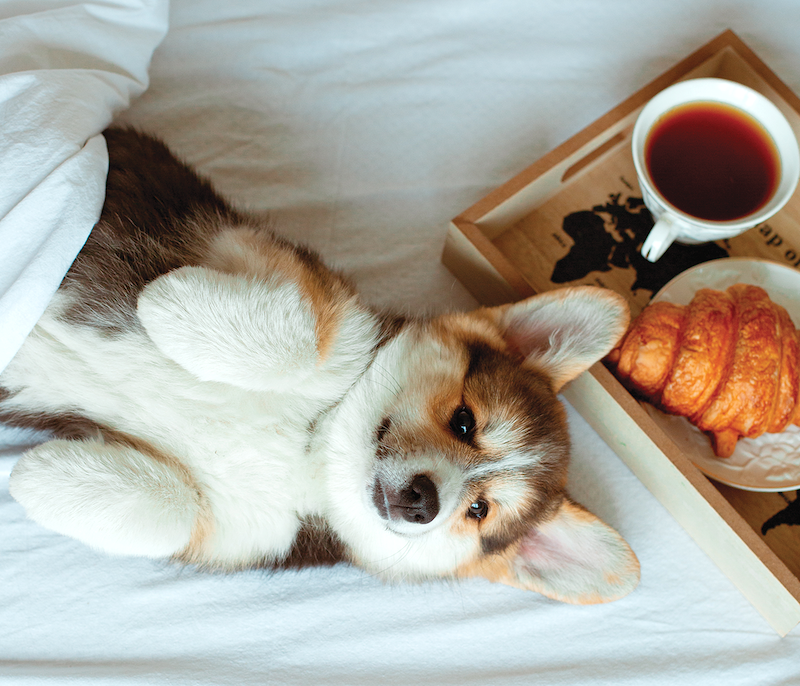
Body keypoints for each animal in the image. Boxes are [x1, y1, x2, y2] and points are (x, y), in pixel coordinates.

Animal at [0, 127, 636, 600]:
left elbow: (175, 510)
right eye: (464, 422)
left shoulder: (233, 529)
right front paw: (168, 303)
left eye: (479, 511)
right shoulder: (276, 267)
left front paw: (43, 477)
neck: (316, 446)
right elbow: (302, 340)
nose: (424, 503)